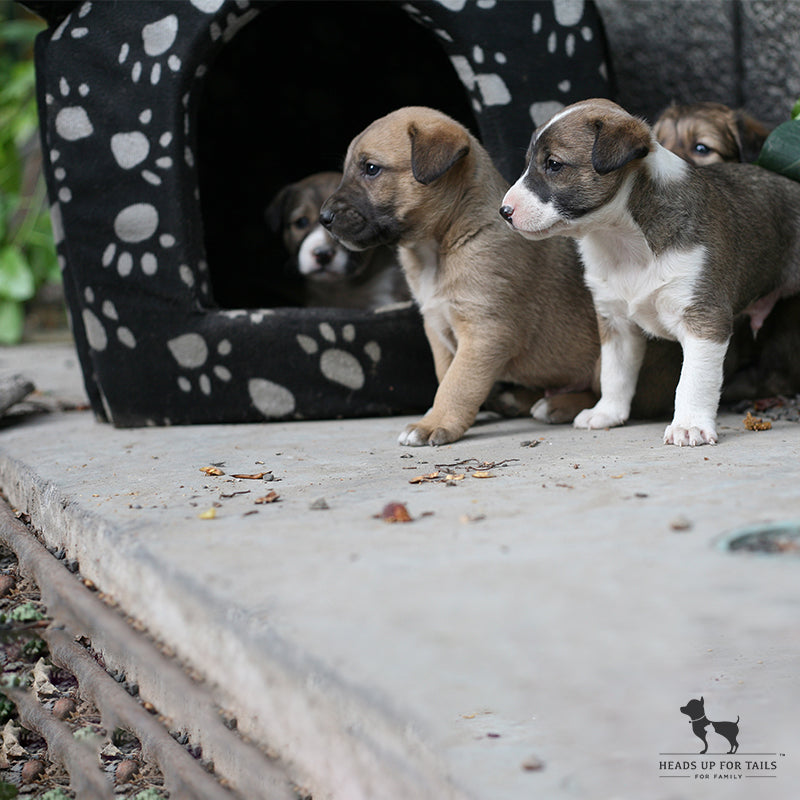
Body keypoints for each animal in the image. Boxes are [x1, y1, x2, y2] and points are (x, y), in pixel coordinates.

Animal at [318, 105, 608, 444]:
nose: (324, 218)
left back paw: (559, 406)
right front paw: (441, 415)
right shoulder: (438, 329)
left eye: (371, 169)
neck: (438, 249)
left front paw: (434, 423)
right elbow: (446, 375)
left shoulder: (486, 331)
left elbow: (458, 383)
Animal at [504, 97, 800, 446]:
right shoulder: (615, 322)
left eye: (553, 164)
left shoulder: (704, 318)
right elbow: (614, 374)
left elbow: (693, 380)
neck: (623, 239)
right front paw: (607, 412)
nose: (504, 211)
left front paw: (688, 424)